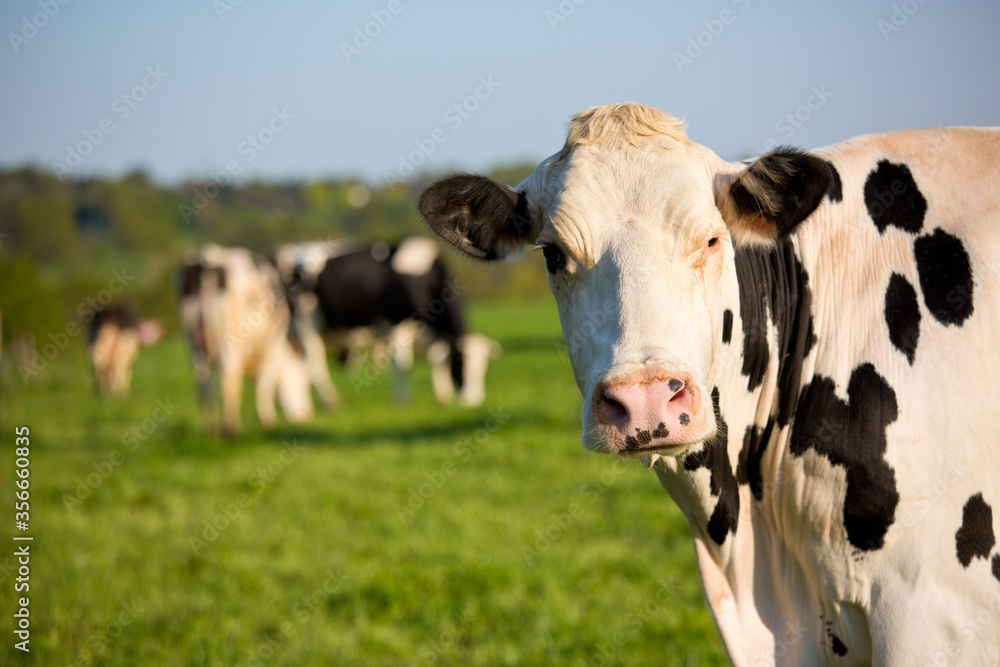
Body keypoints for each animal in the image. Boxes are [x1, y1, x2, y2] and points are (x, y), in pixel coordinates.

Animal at [180, 244, 311, 434]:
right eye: (305, 380)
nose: (306, 416)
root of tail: (210, 256)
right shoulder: (273, 350)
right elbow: (265, 386)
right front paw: (267, 423)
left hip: (194, 344)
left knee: (203, 383)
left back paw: (210, 428)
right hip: (229, 341)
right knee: (228, 377)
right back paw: (231, 429)